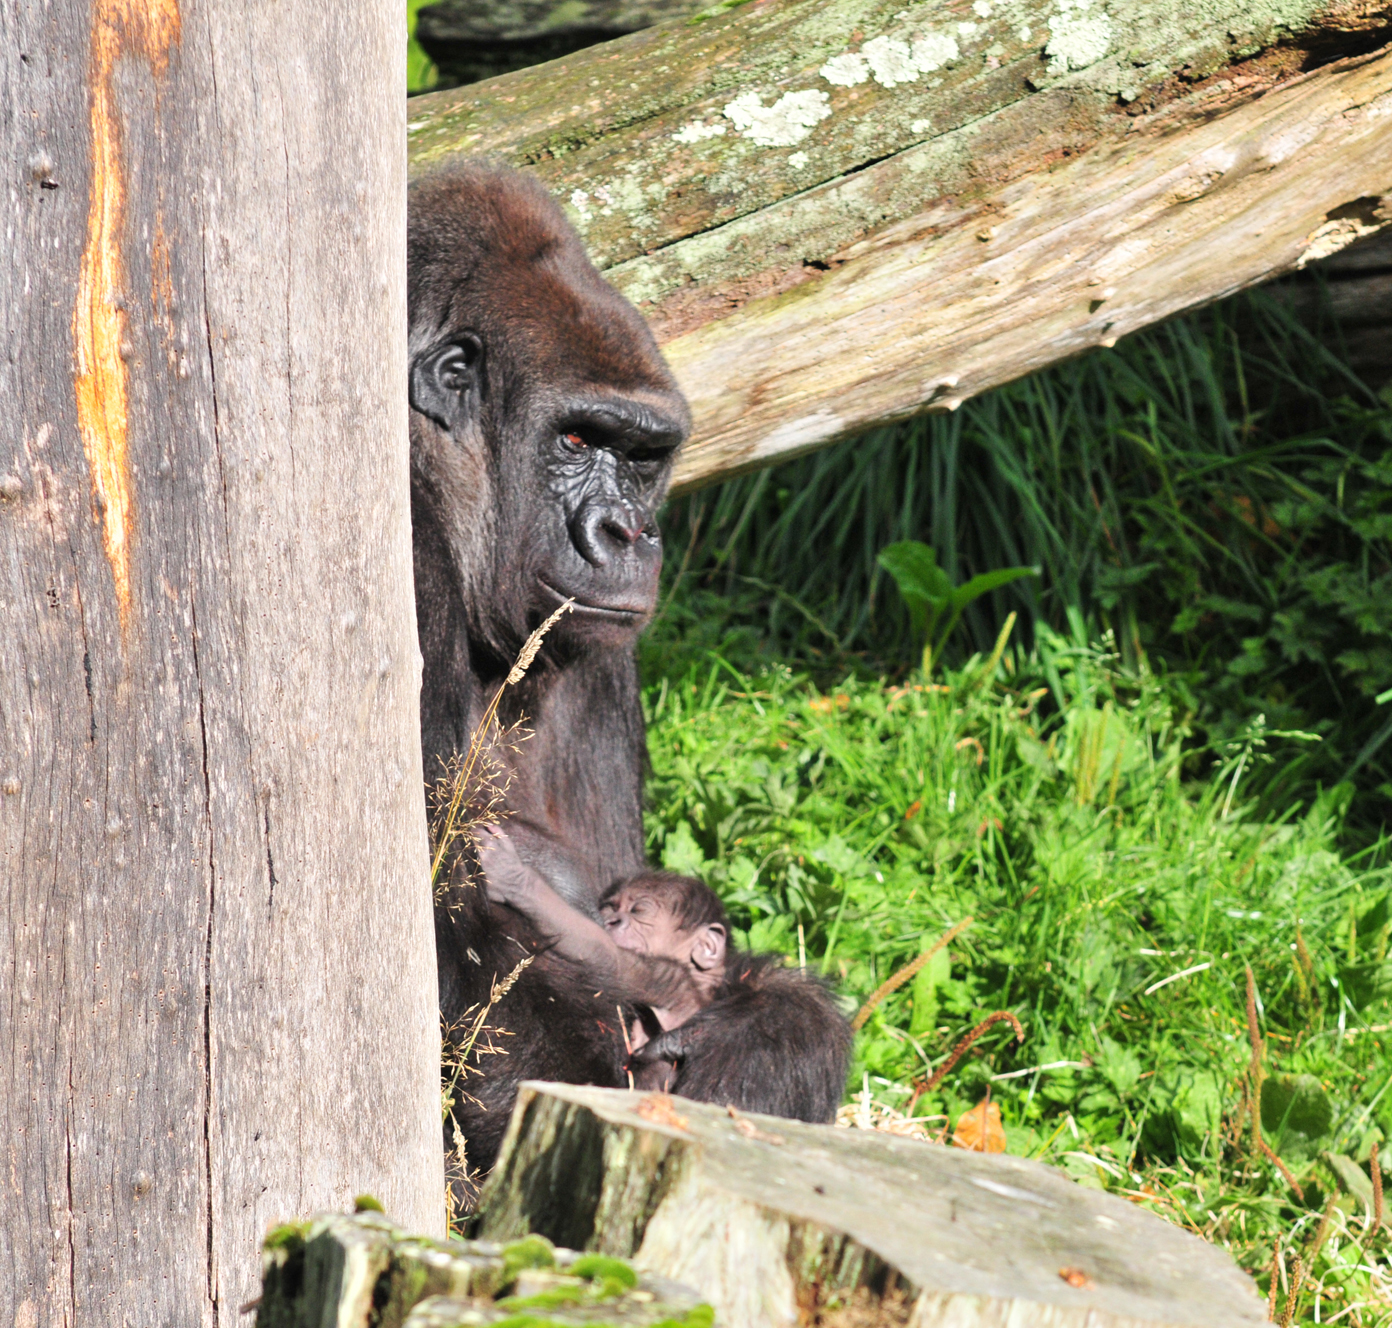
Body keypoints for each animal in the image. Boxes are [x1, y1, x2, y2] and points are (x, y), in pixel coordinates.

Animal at [476, 825, 852, 1123]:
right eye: (610, 908)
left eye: (640, 911)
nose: (612, 921)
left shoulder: (665, 975)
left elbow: (602, 953)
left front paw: (513, 877)